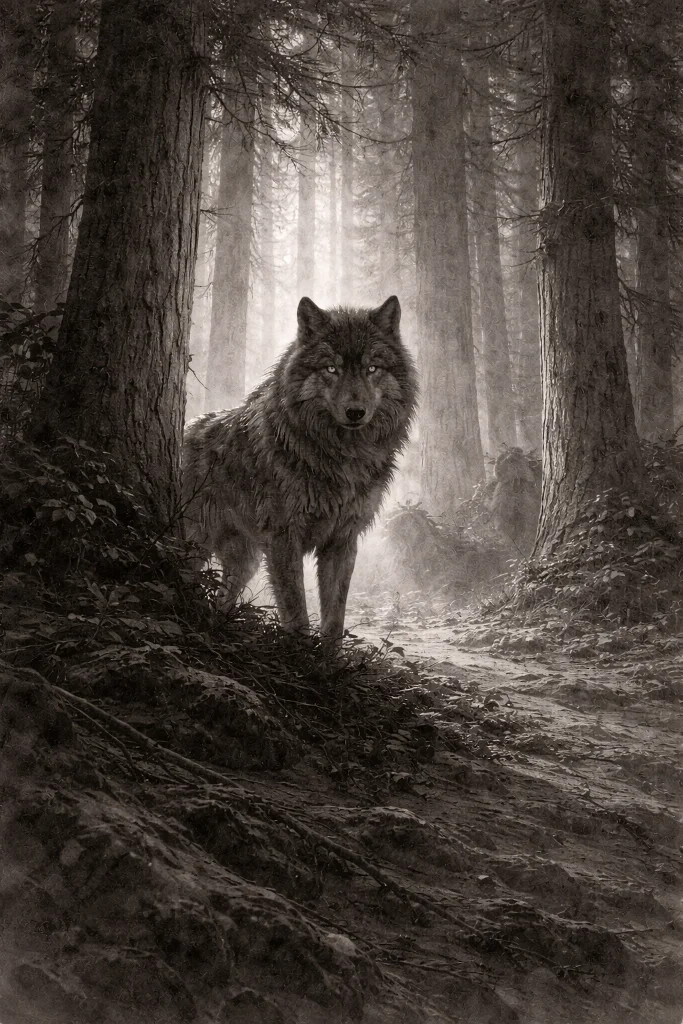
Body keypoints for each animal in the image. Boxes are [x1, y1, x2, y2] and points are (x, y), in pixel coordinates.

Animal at [182, 295, 418, 638]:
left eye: (371, 368)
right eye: (331, 368)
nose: (355, 412)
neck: (340, 457)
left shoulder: (342, 540)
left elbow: (334, 622)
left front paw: (329, 654)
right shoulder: (283, 539)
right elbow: (297, 616)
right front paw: (300, 652)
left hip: (245, 561)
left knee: (221, 599)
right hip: (196, 545)